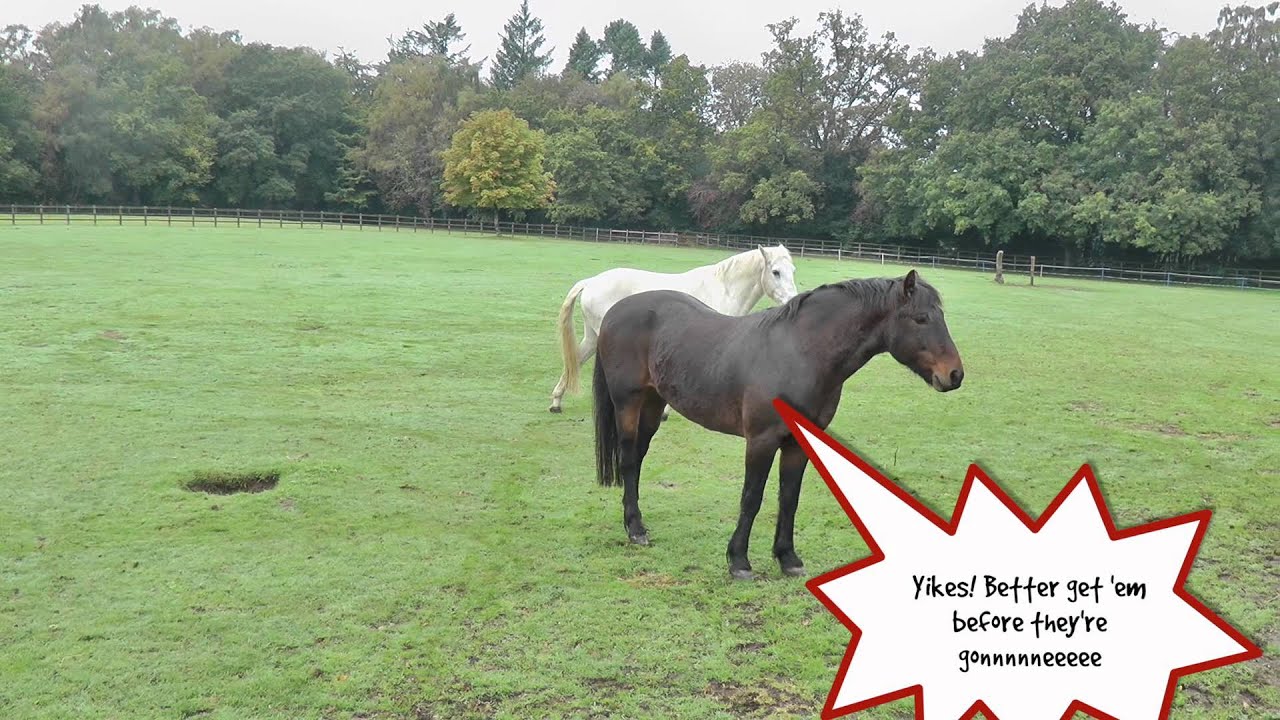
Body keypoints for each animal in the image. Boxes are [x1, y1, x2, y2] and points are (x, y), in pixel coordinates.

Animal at [549, 244, 799, 416]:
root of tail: (591, 282)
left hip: (592, 337)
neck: (724, 288)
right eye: (776, 272)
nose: (792, 300)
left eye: (793, 270)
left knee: (575, 360)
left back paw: (556, 402)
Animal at [590, 269, 964, 580]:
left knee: (638, 459)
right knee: (628, 459)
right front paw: (739, 561)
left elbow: (789, 498)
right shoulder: (761, 440)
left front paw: (788, 559)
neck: (801, 353)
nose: (954, 375)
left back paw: (636, 522)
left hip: (654, 405)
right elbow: (752, 497)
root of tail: (614, 311)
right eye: (921, 318)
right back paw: (635, 530)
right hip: (628, 403)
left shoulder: (798, 444)